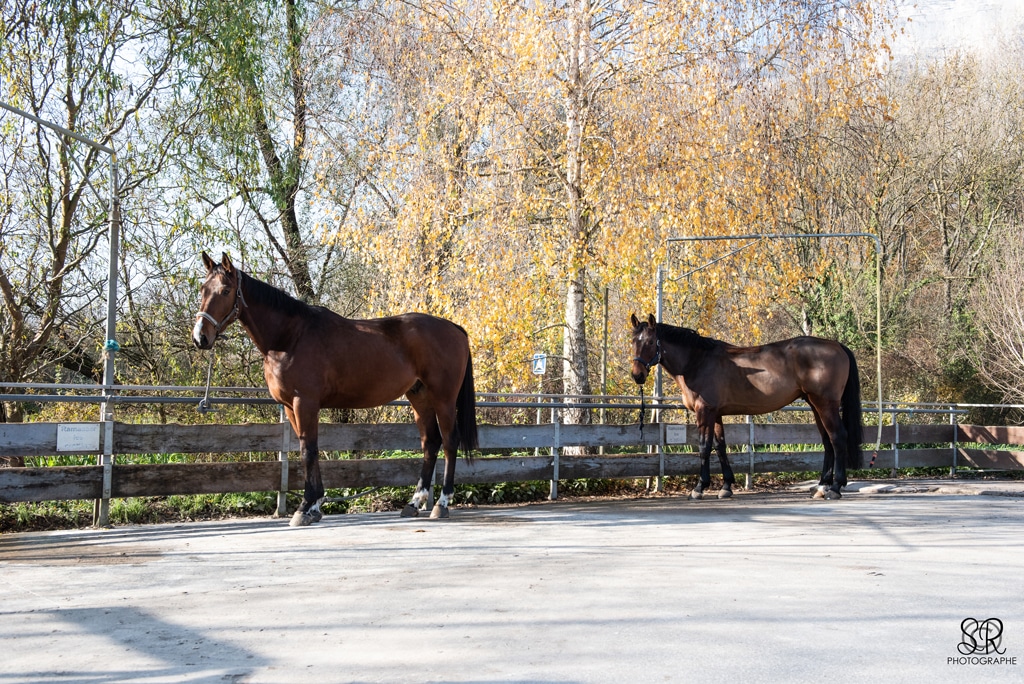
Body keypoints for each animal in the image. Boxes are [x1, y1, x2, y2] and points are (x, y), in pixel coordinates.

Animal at [192, 253, 479, 528]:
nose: (200, 337)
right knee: (430, 443)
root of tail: (455, 328)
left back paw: (441, 503)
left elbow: (308, 451)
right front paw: (315, 506)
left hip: (443, 398)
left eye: (226, 291)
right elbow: (308, 449)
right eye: (203, 289)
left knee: (449, 441)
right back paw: (414, 502)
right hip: (419, 397)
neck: (290, 337)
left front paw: (304, 507)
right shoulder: (290, 406)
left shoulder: (304, 402)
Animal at [626, 313, 860, 499]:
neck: (697, 361)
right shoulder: (716, 414)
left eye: (650, 342)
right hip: (815, 404)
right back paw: (821, 487)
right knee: (827, 441)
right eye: (633, 341)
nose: (637, 375)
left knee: (837, 437)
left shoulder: (704, 412)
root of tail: (836, 345)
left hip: (825, 404)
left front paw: (699, 487)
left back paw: (835, 488)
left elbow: (704, 447)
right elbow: (720, 446)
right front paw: (726, 487)